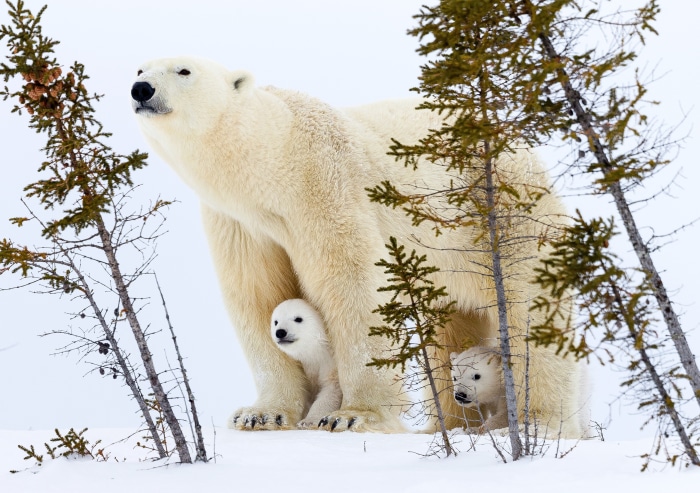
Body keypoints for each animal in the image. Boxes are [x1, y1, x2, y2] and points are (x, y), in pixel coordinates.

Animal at [270, 299, 342, 429]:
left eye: (298, 318)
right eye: (276, 322)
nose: (280, 332)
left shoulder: (330, 363)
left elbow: (331, 389)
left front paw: (307, 421)